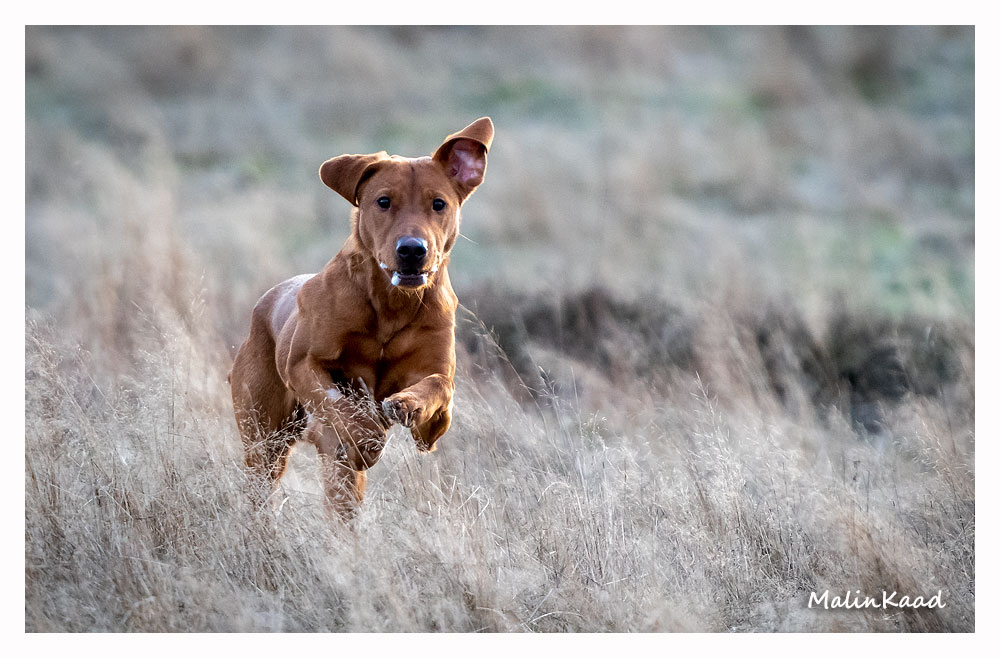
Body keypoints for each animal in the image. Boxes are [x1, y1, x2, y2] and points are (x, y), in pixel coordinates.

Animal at [229, 117, 493, 518]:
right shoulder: (303, 364)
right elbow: (335, 402)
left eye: (439, 204)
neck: (390, 306)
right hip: (264, 440)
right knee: (265, 482)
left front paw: (406, 404)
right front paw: (365, 435)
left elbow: (436, 390)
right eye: (383, 202)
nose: (412, 250)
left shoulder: (438, 399)